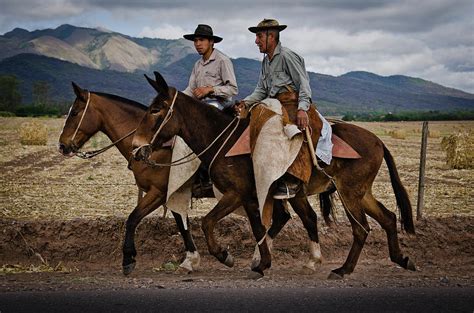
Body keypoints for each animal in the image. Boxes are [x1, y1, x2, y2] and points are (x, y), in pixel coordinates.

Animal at [132, 71, 414, 278]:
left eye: (156, 109)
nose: (137, 147)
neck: (221, 137)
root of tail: (378, 141)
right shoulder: (249, 197)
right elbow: (258, 227)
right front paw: (261, 264)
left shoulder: (236, 194)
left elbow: (208, 222)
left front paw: (226, 256)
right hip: (359, 193)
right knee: (387, 218)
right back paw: (401, 259)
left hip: (349, 192)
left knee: (361, 228)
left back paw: (343, 270)